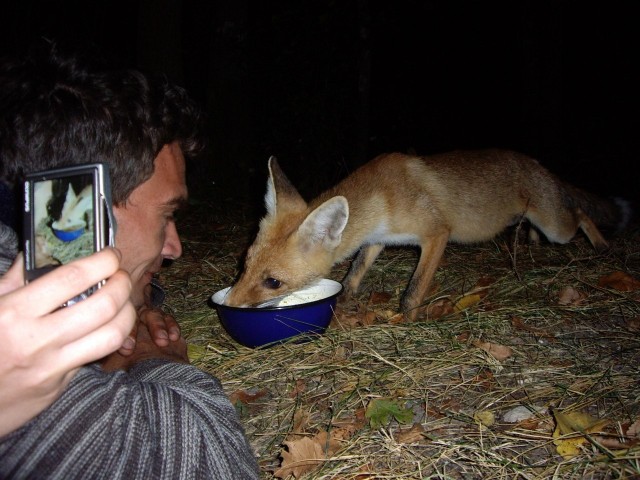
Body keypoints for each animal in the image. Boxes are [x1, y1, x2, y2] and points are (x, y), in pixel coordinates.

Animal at [223, 149, 630, 320]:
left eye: (273, 282)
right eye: (244, 264)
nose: (228, 305)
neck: (385, 196)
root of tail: (536, 163)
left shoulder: (436, 234)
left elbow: (413, 291)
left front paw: (407, 320)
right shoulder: (378, 239)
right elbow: (355, 271)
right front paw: (346, 298)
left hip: (557, 227)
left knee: (580, 213)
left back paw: (601, 244)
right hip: (538, 221)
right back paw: (529, 241)